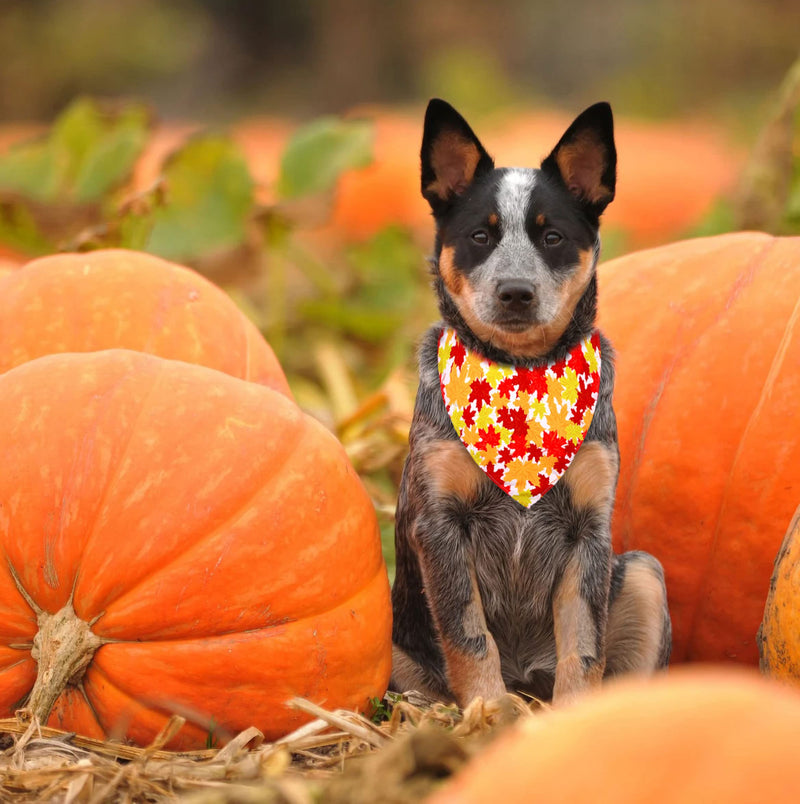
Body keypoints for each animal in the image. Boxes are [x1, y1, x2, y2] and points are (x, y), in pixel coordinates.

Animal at [390, 99, 672, 704]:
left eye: (553, 237)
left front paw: (572, 712)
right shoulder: (441, 525)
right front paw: (488, 710)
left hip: (641, 573)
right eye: (480, 236)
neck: (522, 378)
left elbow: (583, 646)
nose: (515, 291)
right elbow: (468, 634)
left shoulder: (588, 531)